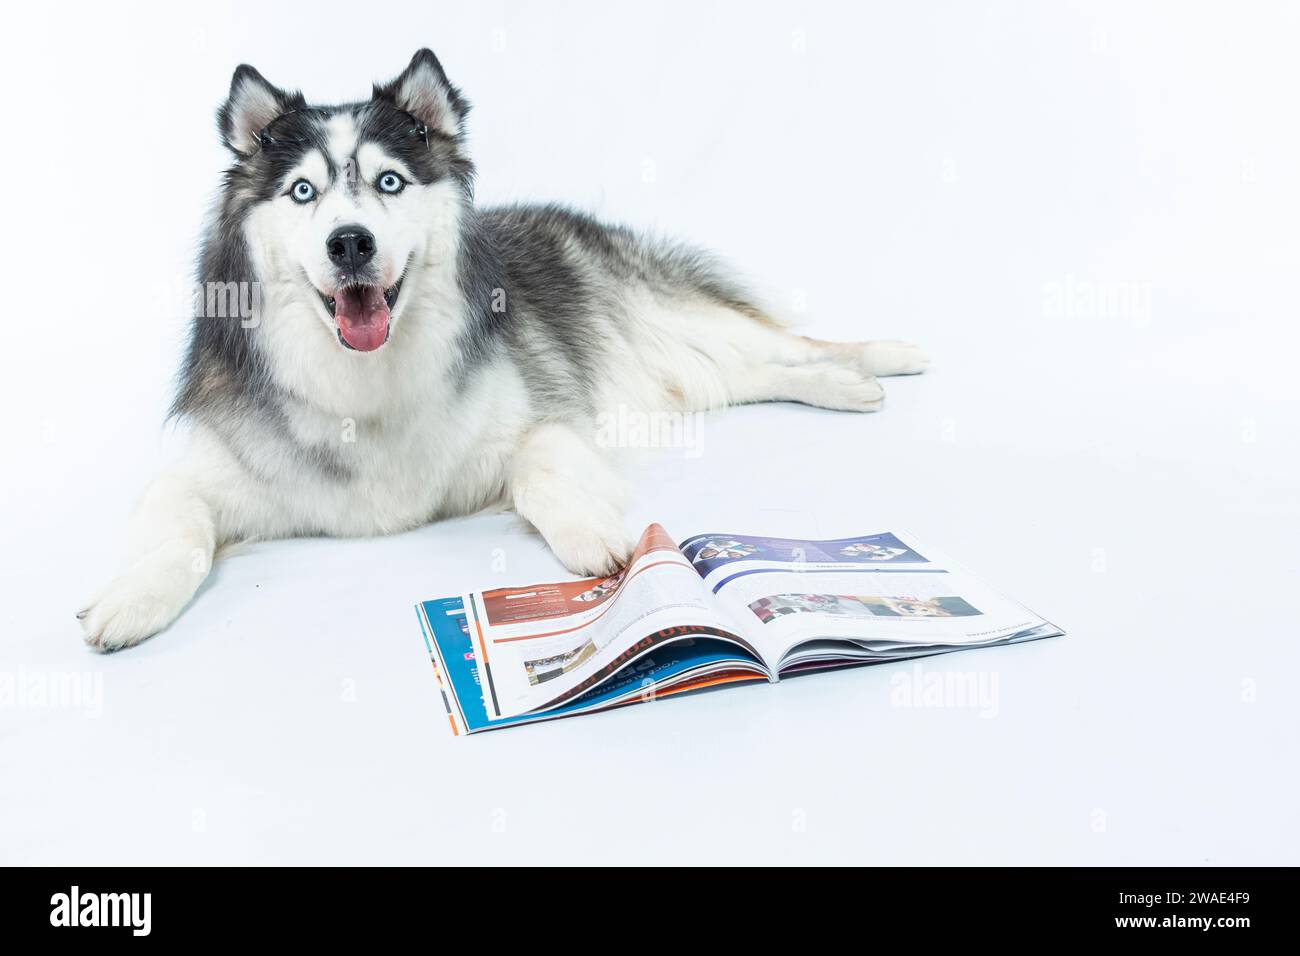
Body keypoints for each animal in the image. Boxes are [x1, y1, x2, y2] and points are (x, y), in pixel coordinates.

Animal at [81, 48, 930, 655]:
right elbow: (171, 522)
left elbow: (538, 464)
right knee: (768, 367)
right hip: (697, 376)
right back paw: (848, 385)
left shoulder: (547, 417)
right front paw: (128, 599)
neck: (362, 378)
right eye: (302, 192)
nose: (350, 242)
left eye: (388, 183)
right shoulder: (206, 469)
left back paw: (882, 359)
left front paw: (591, 534)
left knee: (793, 340)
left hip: (686, 327)